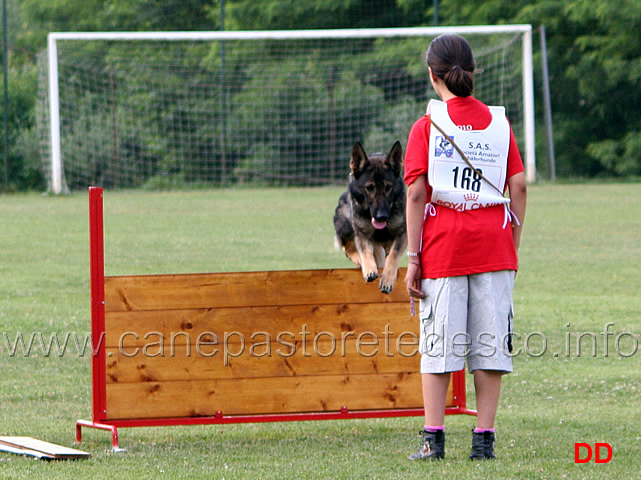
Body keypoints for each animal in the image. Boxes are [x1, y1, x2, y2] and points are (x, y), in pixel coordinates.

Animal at [332, 141, 408, 294]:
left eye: (388, 187)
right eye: (369, 188)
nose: (381, 216)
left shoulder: (402, 234)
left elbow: (393, 255)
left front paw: (388, 278)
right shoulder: (363, 235)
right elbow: (365, 251)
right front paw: (369, 269)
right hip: (347, 221)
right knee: (349, 249)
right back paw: (360, 261)